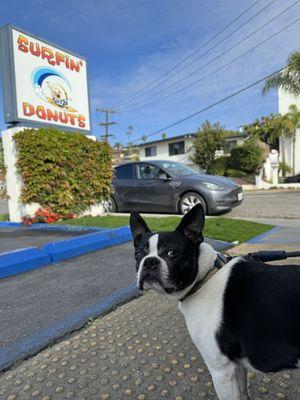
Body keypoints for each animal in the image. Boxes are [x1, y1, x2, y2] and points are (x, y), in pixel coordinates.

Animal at [129, 206, 300, 400]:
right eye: (138, 254)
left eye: (172, 252)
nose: (149, 261)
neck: (205, 278)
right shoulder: (236, 365)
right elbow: (243, 390)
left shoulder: (221, 371)